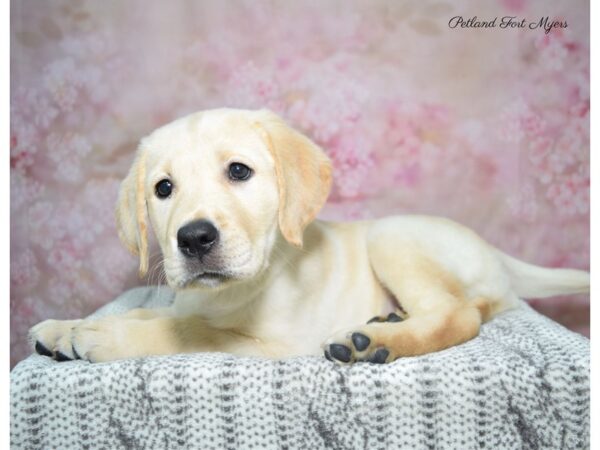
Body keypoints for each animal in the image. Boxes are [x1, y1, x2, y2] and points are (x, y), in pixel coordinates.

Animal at [30, 108, 588, 366]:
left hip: (392, 236)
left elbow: (186, 332)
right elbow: (159, 315)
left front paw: (102, 336)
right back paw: (386, 320)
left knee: (461, 314)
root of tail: (495, 254)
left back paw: (373, 341)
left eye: (239, 171)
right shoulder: (188, 302)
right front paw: (66, 327)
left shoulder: (274, 343)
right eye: (163, 189)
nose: (193, 239)